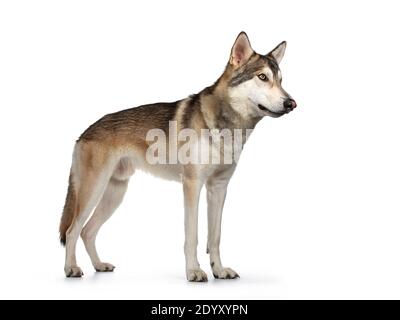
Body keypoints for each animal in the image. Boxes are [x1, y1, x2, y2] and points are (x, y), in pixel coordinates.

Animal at [59, 31, 296, 282]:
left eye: (281, 81)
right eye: (262, 77)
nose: (291, 103)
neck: (229, 128)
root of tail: (83, 133)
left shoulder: (219, 187)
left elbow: (215, 237)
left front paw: (219, 271)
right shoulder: (192, 185)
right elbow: (192, 237)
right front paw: (194, 271)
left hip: (115, 194)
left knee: (88, 231)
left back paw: (99, 266)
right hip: (93, 192)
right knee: (72, 230)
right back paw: (71, 268)